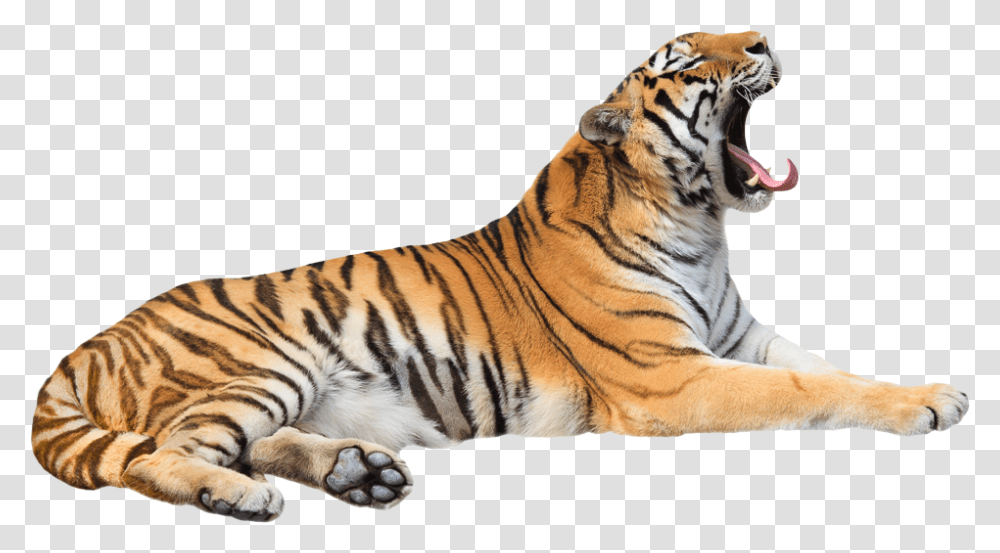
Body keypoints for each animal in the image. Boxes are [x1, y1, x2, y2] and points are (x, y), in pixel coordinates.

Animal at [31, 31, 968, 522]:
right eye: (687, 62)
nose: (765, 38)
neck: (702, 223)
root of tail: (92, 342)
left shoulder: (740, 339)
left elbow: (829, 368)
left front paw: (921, 386)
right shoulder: (671, 377)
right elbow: (808, 387)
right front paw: (929, 403)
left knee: (237, 439)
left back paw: (357, 473)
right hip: (264, 361)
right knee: (162, 454)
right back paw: (239, 495)